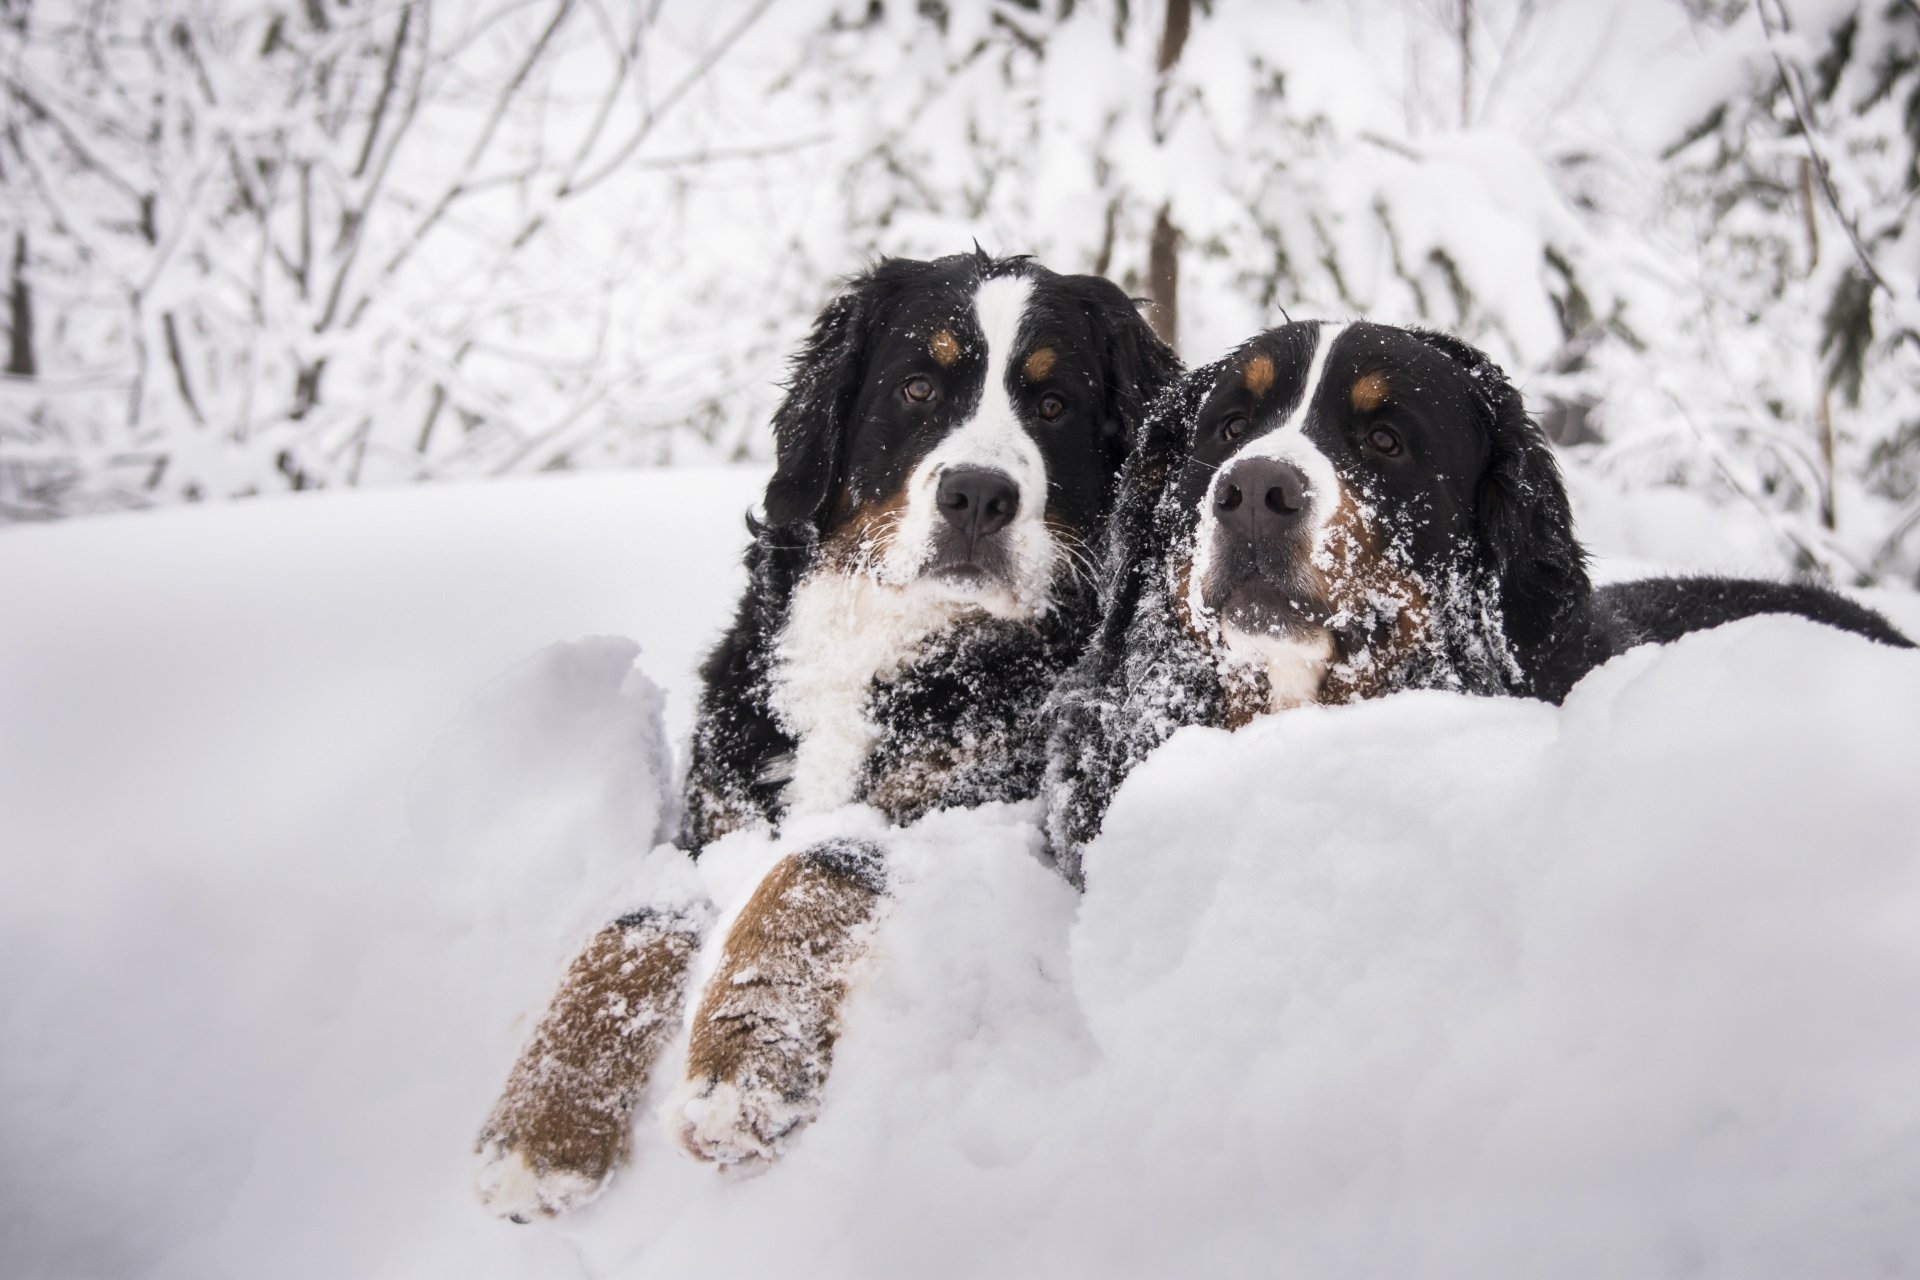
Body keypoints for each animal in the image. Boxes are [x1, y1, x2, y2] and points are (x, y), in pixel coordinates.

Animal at [472, 253, 1175, 1220]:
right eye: (917, 387)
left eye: (1055, 402)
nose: (977, 495)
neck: (885, 640)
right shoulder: (711, 823)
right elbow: (631, 930)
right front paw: (541, 1125)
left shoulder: (972, 809)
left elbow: (815, 868)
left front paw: (741, 1071)